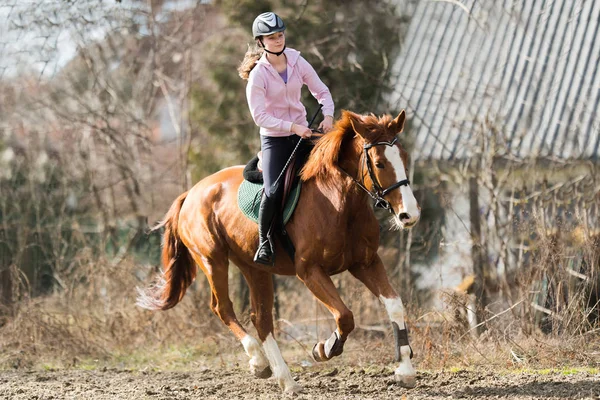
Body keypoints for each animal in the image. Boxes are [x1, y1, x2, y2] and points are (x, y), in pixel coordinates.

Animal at [139, 109, 422, 394]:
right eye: (380, 163)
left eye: (405, 157)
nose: (409, 215)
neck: (339, 202)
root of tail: (191, 193)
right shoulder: (309, 271)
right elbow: (345, 316)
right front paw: (324, 349)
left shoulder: (365, 263)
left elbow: (394, 305)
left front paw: (405, 371)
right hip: (212, 260)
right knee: (223, 308)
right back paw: (260, 362)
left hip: (254, 268)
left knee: (261, 318)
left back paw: (283, 378)